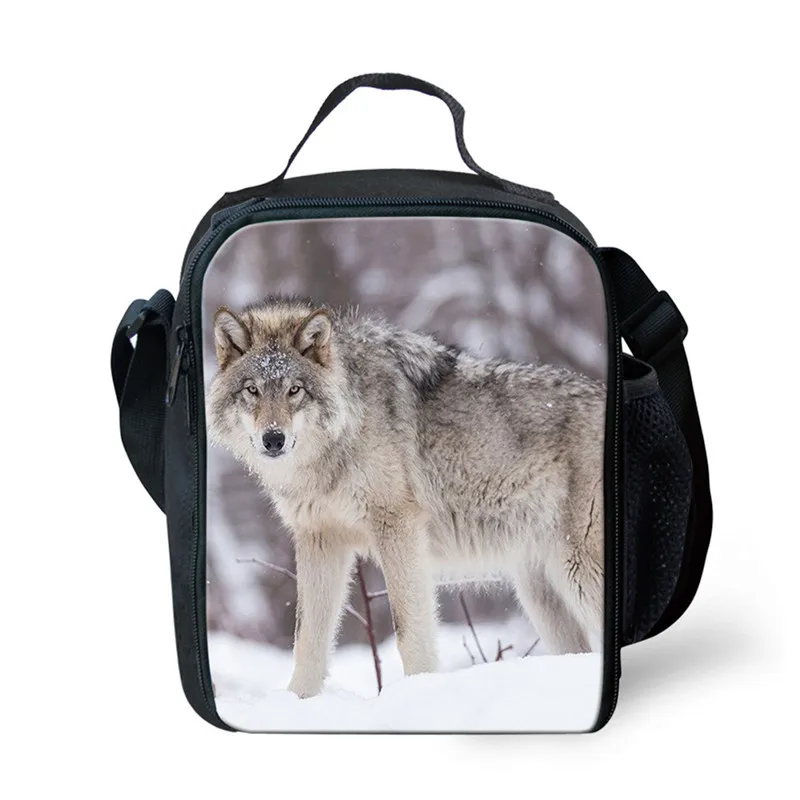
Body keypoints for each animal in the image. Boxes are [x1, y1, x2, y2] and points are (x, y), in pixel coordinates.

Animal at [208, 296, 605, 698]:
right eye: (252, 390)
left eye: (294, 390)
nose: (273, 439)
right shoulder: (319, 538)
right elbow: (306, 639)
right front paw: (299, 701)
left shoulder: (397, 526)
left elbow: (409, 631)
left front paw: (419, 690)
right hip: (542, 593)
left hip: (579, 573)